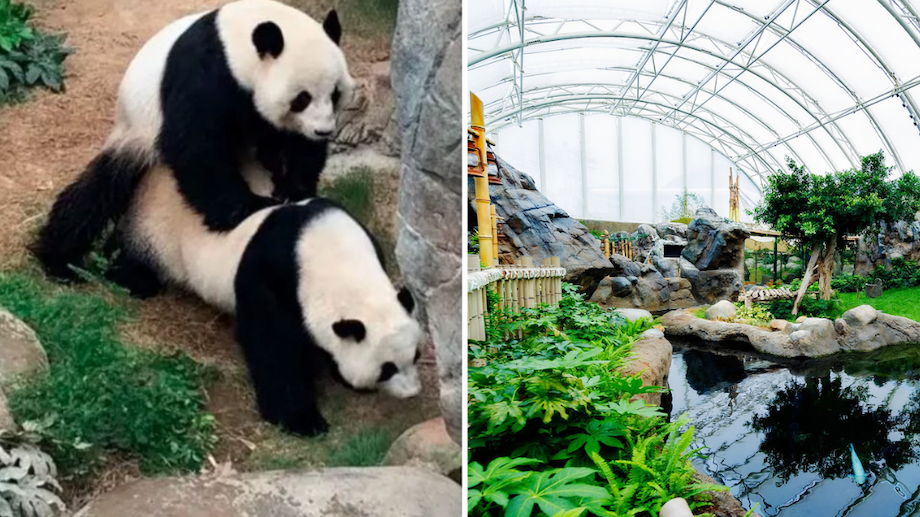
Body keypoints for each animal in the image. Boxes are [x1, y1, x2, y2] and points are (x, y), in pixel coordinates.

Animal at [34, 0, 355, 281]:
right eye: (302, 98)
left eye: (335, 93)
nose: (323, 131)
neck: (236, 43)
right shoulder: (206, 72)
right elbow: (195, 145)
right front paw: (247, 207)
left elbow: (295, 145)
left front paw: (294, 189)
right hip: (135, 132)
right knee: (98, 192)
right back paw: (60, 260)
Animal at [120, 164, 423, 436]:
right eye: (387, 369)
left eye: (416, 355)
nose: (412, 392)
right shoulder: (272, 276)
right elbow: (272, 346)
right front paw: (303, 420)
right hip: (158, 232)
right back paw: (135, 281)